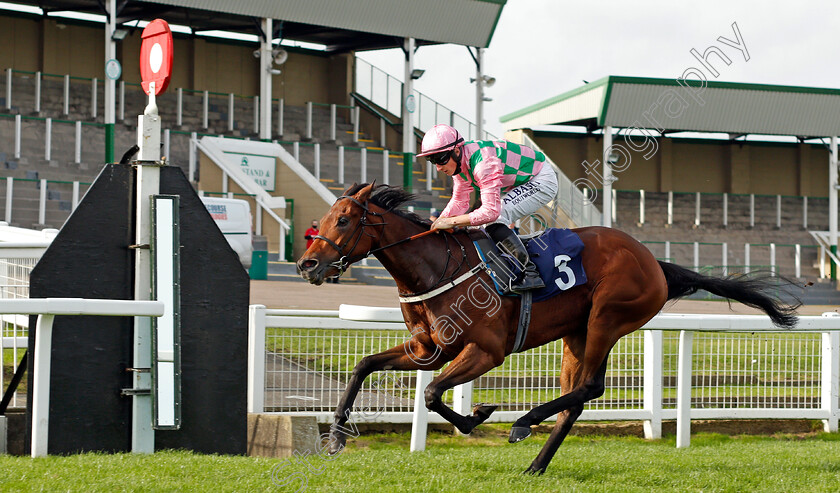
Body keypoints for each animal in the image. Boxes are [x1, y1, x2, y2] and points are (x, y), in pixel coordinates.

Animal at [296, 183, 800, 474]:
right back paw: (536, 463)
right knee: (575, 398)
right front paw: (335, 436)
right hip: (576, 335)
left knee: (590, 388)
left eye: (344, 219)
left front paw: (479, 416)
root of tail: (654, 261)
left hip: (607, 318)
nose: (307, 265)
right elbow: (364, 366)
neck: (436, 268)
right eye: (321, 220)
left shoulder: (486, 351)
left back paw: (524, 422)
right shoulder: (428, 349)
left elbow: (433, 393)